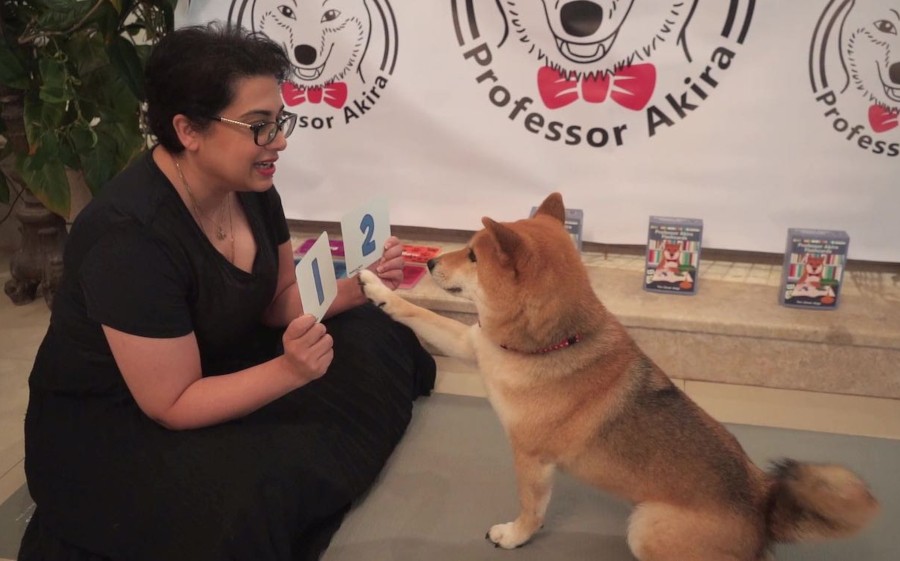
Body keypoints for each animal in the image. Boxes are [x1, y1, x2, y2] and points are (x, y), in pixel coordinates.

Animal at [356, 191, 876, 556]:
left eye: (472, 256)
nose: (427, 261)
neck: (545, 347)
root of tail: (762, 506)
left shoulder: (531, 459)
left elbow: (531, 511)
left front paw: (513, 535)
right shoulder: (473, 344)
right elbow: (417, 313)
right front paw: (373, 283)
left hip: (646, 525)